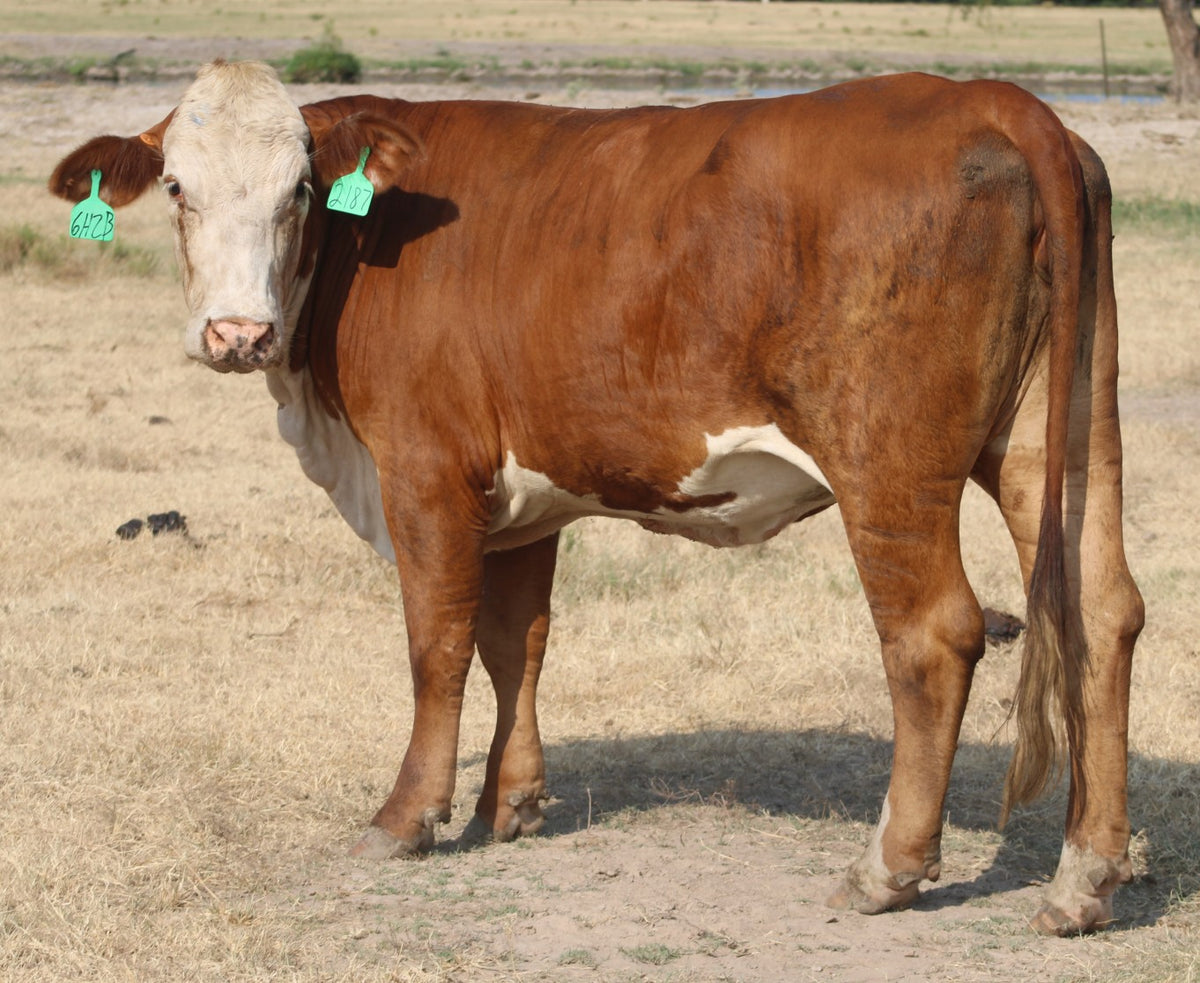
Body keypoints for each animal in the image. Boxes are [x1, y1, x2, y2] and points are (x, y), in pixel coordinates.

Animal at [50, 60, 1143, 935]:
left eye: (301, 190)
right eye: (178, 186)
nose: (239, 333)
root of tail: (993, 99)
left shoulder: (424, 474)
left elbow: (437, 646)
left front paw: (408, 816)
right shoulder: (520, 499)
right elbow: (516, 644)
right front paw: (511, 803)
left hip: (890, 457)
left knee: (934, 633)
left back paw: (888, 870)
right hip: (1058, 437)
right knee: (1104, 611)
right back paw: (1084, 877)